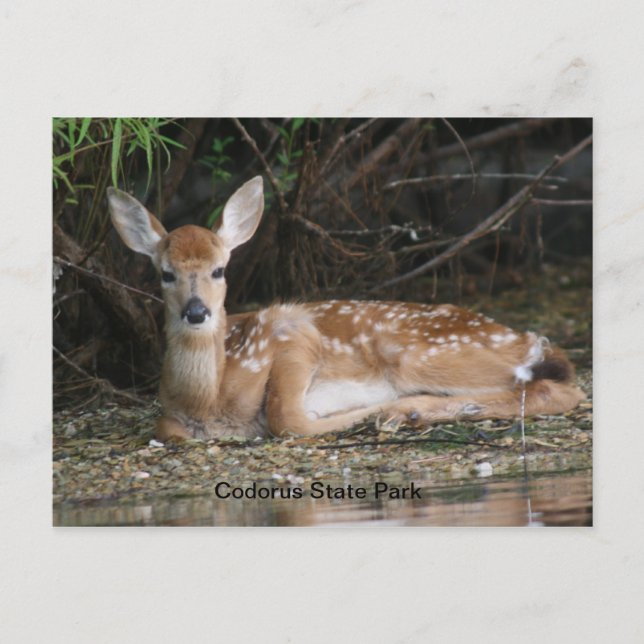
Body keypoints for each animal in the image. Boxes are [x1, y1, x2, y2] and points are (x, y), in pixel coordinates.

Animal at [107, 176, 585, 442]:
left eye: (220, 269)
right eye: (166, 273)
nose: (196, 312)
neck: (208, 399)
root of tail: (526, 339)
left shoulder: (291, 331)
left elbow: (288, 418)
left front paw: (354, 414)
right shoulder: (171, 416)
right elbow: (166, 429)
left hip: (419, 353)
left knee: (563, 389)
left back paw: (403, 410)